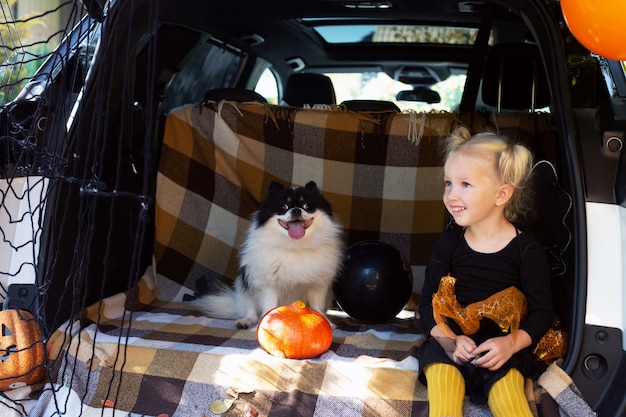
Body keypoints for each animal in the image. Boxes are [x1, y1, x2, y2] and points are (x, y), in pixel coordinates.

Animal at [194, 180, 342, 326]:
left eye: (307, 206)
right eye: (284, 207)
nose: (296, 210)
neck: (294, 246)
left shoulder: (318, 286)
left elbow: (317, 306)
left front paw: (325, 322)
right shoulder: (268, 285)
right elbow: (270, 306)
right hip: (244, 288)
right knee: (250, 310)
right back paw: (247, 321)